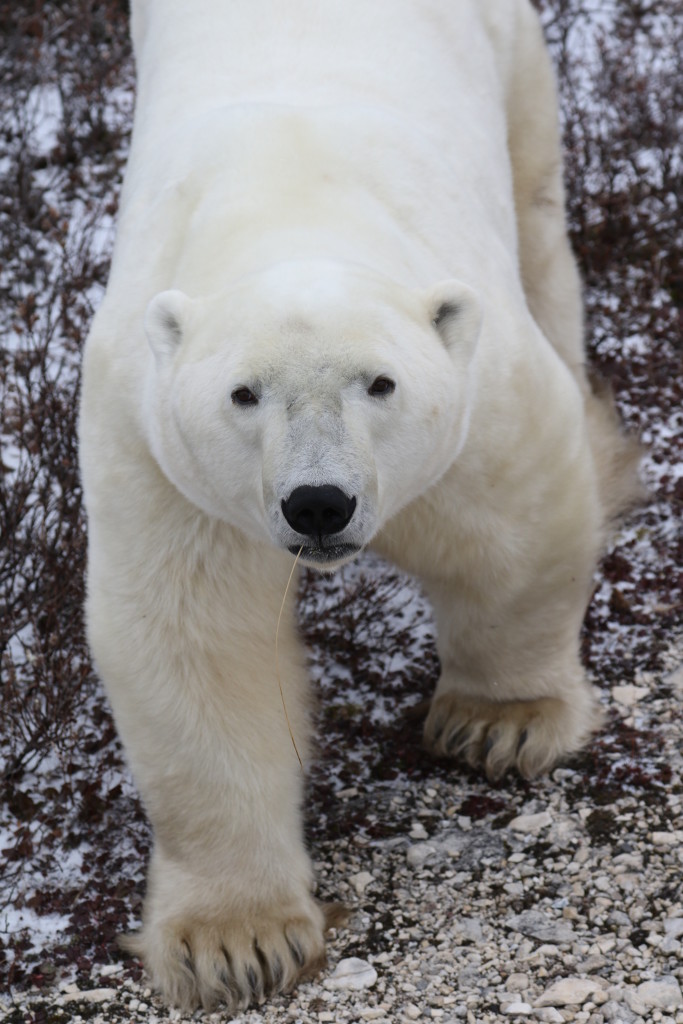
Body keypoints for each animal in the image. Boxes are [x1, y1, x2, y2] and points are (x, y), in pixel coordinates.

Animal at [78, 0, 638, 1012]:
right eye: (243, 394)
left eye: (379, 382)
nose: (317, 504)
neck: (288, 209)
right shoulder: (157, 452)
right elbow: (196, 639)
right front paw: (236, 943)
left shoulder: (474, 393)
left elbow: (512, 541)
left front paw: (498, 722)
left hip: (508, 58)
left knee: (539, 212)